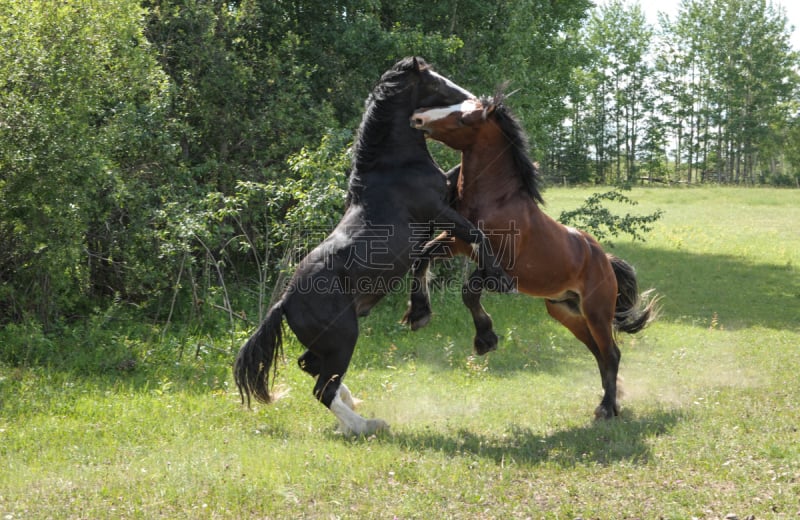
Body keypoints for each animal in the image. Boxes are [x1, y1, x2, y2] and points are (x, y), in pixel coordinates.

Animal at [231, 59, 512, 436]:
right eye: (434, 81)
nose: (473, 98)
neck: (393, 167)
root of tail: (284, 303)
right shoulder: (440, 211)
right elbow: (477, 235)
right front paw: (499, 280)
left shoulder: (446, 191)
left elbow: (458, 178)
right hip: (344, 337)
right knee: (322, 388)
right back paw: (365, 426)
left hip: (327, 343)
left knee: (312, 369)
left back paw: (354, 406)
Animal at [406, 93, 656, 418]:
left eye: (462, 117)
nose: (418, 116)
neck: (496, 202)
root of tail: (604, 261)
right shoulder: (457, 243)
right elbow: (422, 258)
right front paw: (418, 314)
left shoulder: (503, 269)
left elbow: (469, 290)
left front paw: (485, 339)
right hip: (567, 312)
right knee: (599, 353)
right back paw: (610, 403)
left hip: (596, 311)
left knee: (611, 353)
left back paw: (606, 409)